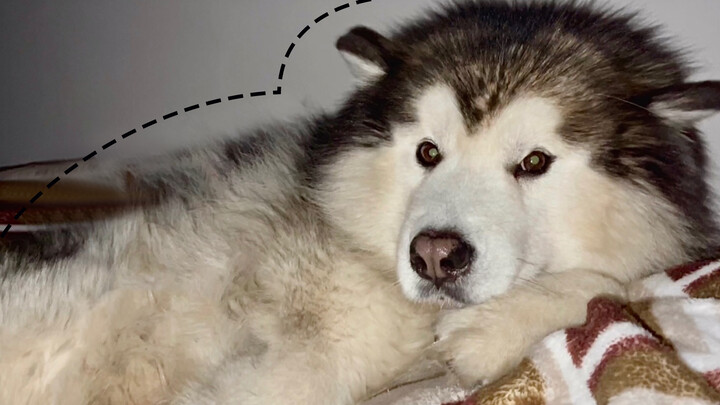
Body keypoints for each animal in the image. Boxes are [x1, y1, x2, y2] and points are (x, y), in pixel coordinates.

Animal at [1, 0, 720, 404]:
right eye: (428, 152)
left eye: (534, 163)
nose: (434, 256)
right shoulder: (303, 362)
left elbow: (619, 280)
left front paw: (495, 326)